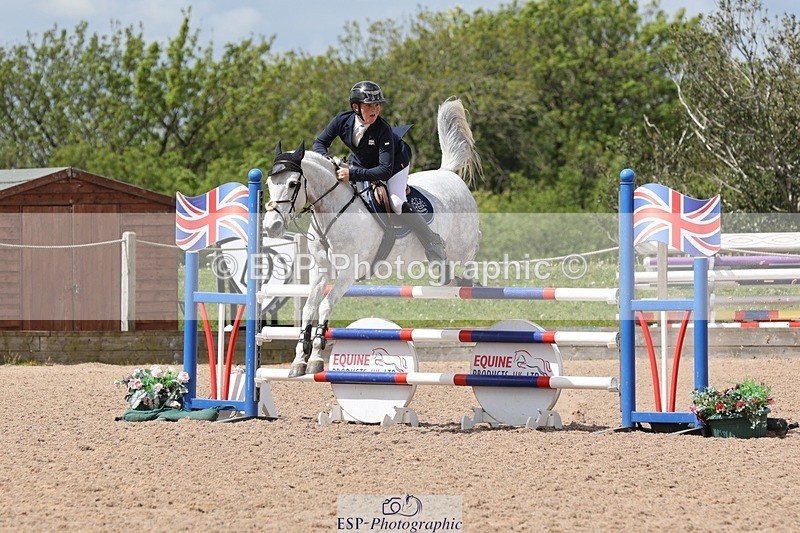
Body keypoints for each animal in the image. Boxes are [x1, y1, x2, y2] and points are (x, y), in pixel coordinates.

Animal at [263, 98, 481, 377]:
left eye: (292, 184)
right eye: (269, 184)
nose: (272, 227)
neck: (332, 211)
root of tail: (449, 173)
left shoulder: (349, 272)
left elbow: (324, 306)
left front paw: (316, 357)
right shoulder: (320, 270)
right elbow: (310, 307)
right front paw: (299, 360)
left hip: (463, 244)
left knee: (468, 253)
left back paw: (461, 275)